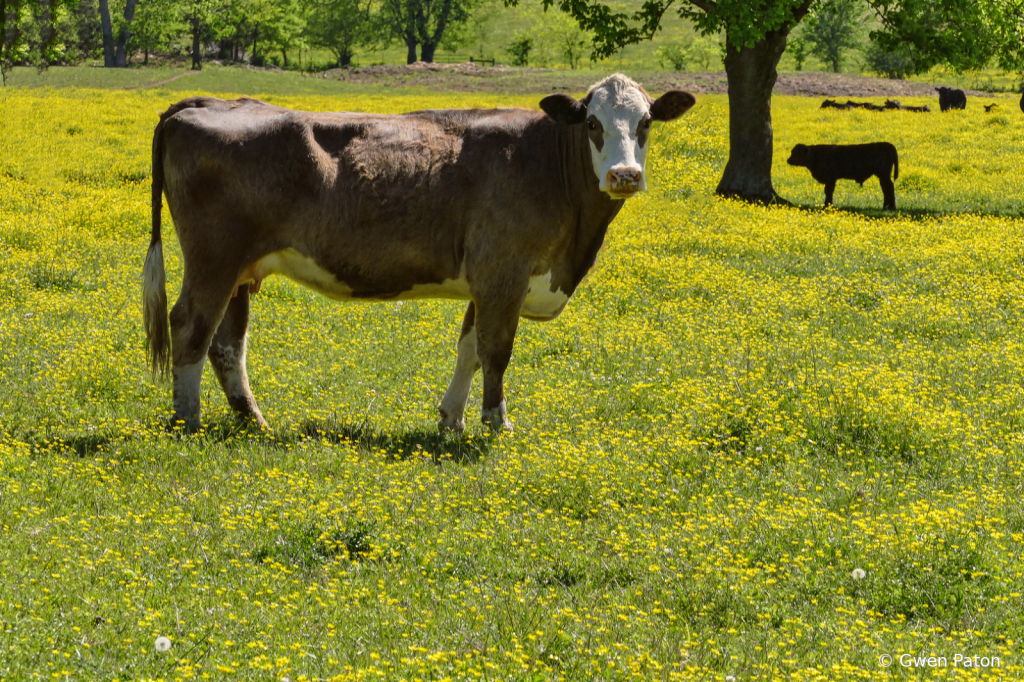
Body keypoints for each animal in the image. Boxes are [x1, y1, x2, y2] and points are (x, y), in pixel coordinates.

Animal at [144, 71, 696, 430]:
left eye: (647, 122)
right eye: (592, 124)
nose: (624, 175)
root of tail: (204, 102)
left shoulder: (487, 279)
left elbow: (468, 348)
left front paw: (451, 420)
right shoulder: (504, 270)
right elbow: (496, 351)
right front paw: (495, 424)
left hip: (241, 268)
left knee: (226, 344)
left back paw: (254, 420)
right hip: (213, 259)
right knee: (190, 327)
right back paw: (186, 421)